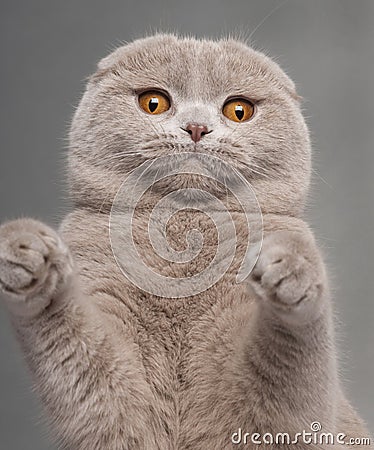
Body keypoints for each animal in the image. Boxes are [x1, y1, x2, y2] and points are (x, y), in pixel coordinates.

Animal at [0, 33, 372, 448]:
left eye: (238, 110)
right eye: (154, 102)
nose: (196, 127)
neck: (184, 232)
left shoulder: (273, 418)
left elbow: (294, 356)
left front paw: (291, 267)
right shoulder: (115, 402)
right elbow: (74, 339)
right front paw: (27, 253)